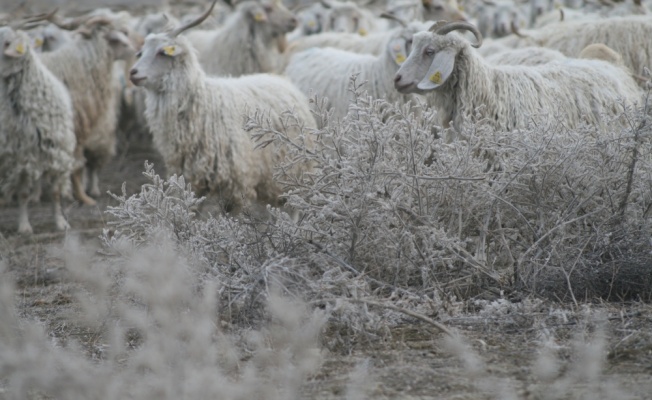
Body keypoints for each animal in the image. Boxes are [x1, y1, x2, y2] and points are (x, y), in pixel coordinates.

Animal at [0, 26, 76, 233]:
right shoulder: (21, 158)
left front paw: (61, 223)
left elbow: (56, 192)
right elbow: (24, 194)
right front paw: (24, 226)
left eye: (6, 43)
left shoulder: (57, 152)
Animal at [129, 1, 318, 212]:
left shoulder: (239, 183)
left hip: (296, 169)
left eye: (162, 52)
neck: (204, 105)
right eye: (141, 52)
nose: (133, 73)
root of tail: (282, 81)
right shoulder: (192, 181)